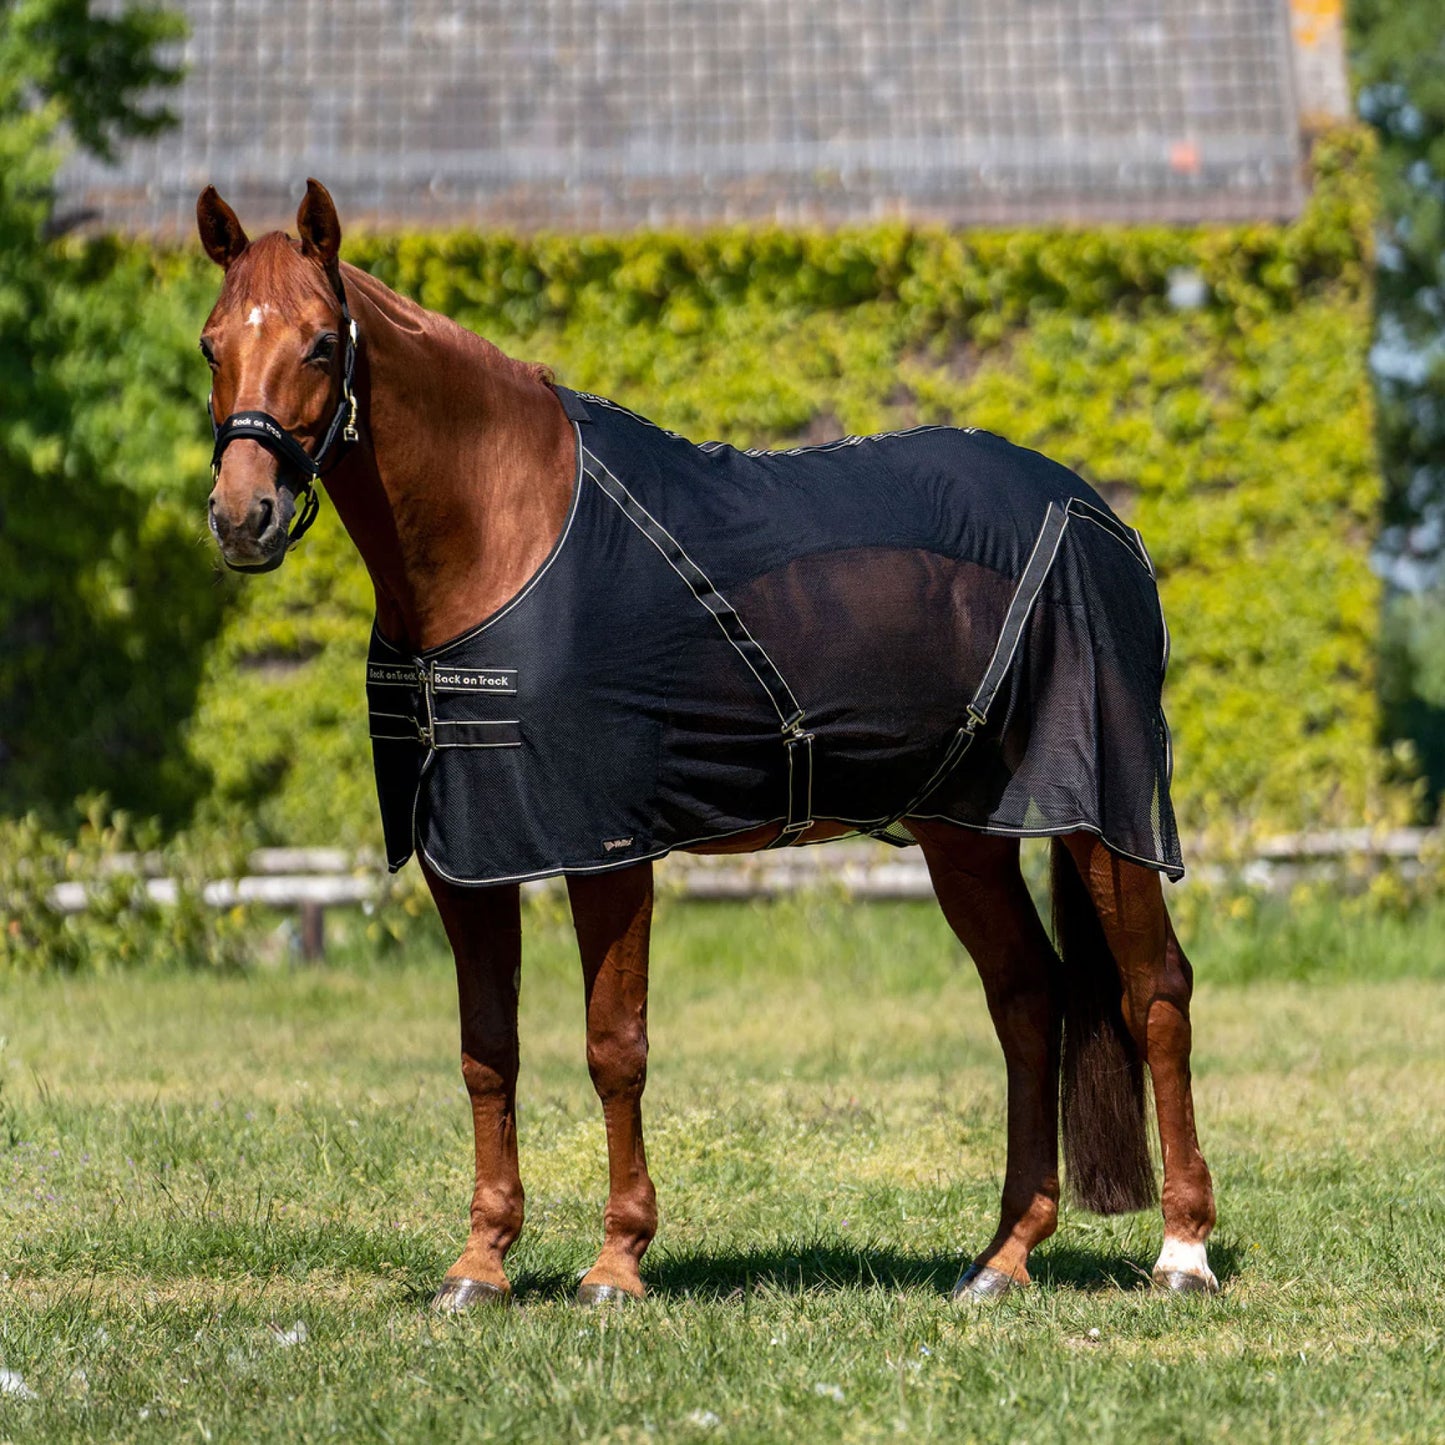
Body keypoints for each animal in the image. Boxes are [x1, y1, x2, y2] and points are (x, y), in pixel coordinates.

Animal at [195, 179, 1217, 1309]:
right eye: (211, 345)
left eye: (319, 343)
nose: (242, 515)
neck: (508, 537)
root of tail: (1101, 517)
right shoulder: (464, 854)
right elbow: (486, 1050)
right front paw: (480, 1262)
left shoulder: (605, 845)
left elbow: (613, 1044)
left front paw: (615, 1261)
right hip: (964, 832)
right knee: (1027, 998)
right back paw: (1002, 1255)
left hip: (1101, 816)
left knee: (1154, 992)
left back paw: (1183, 1249)